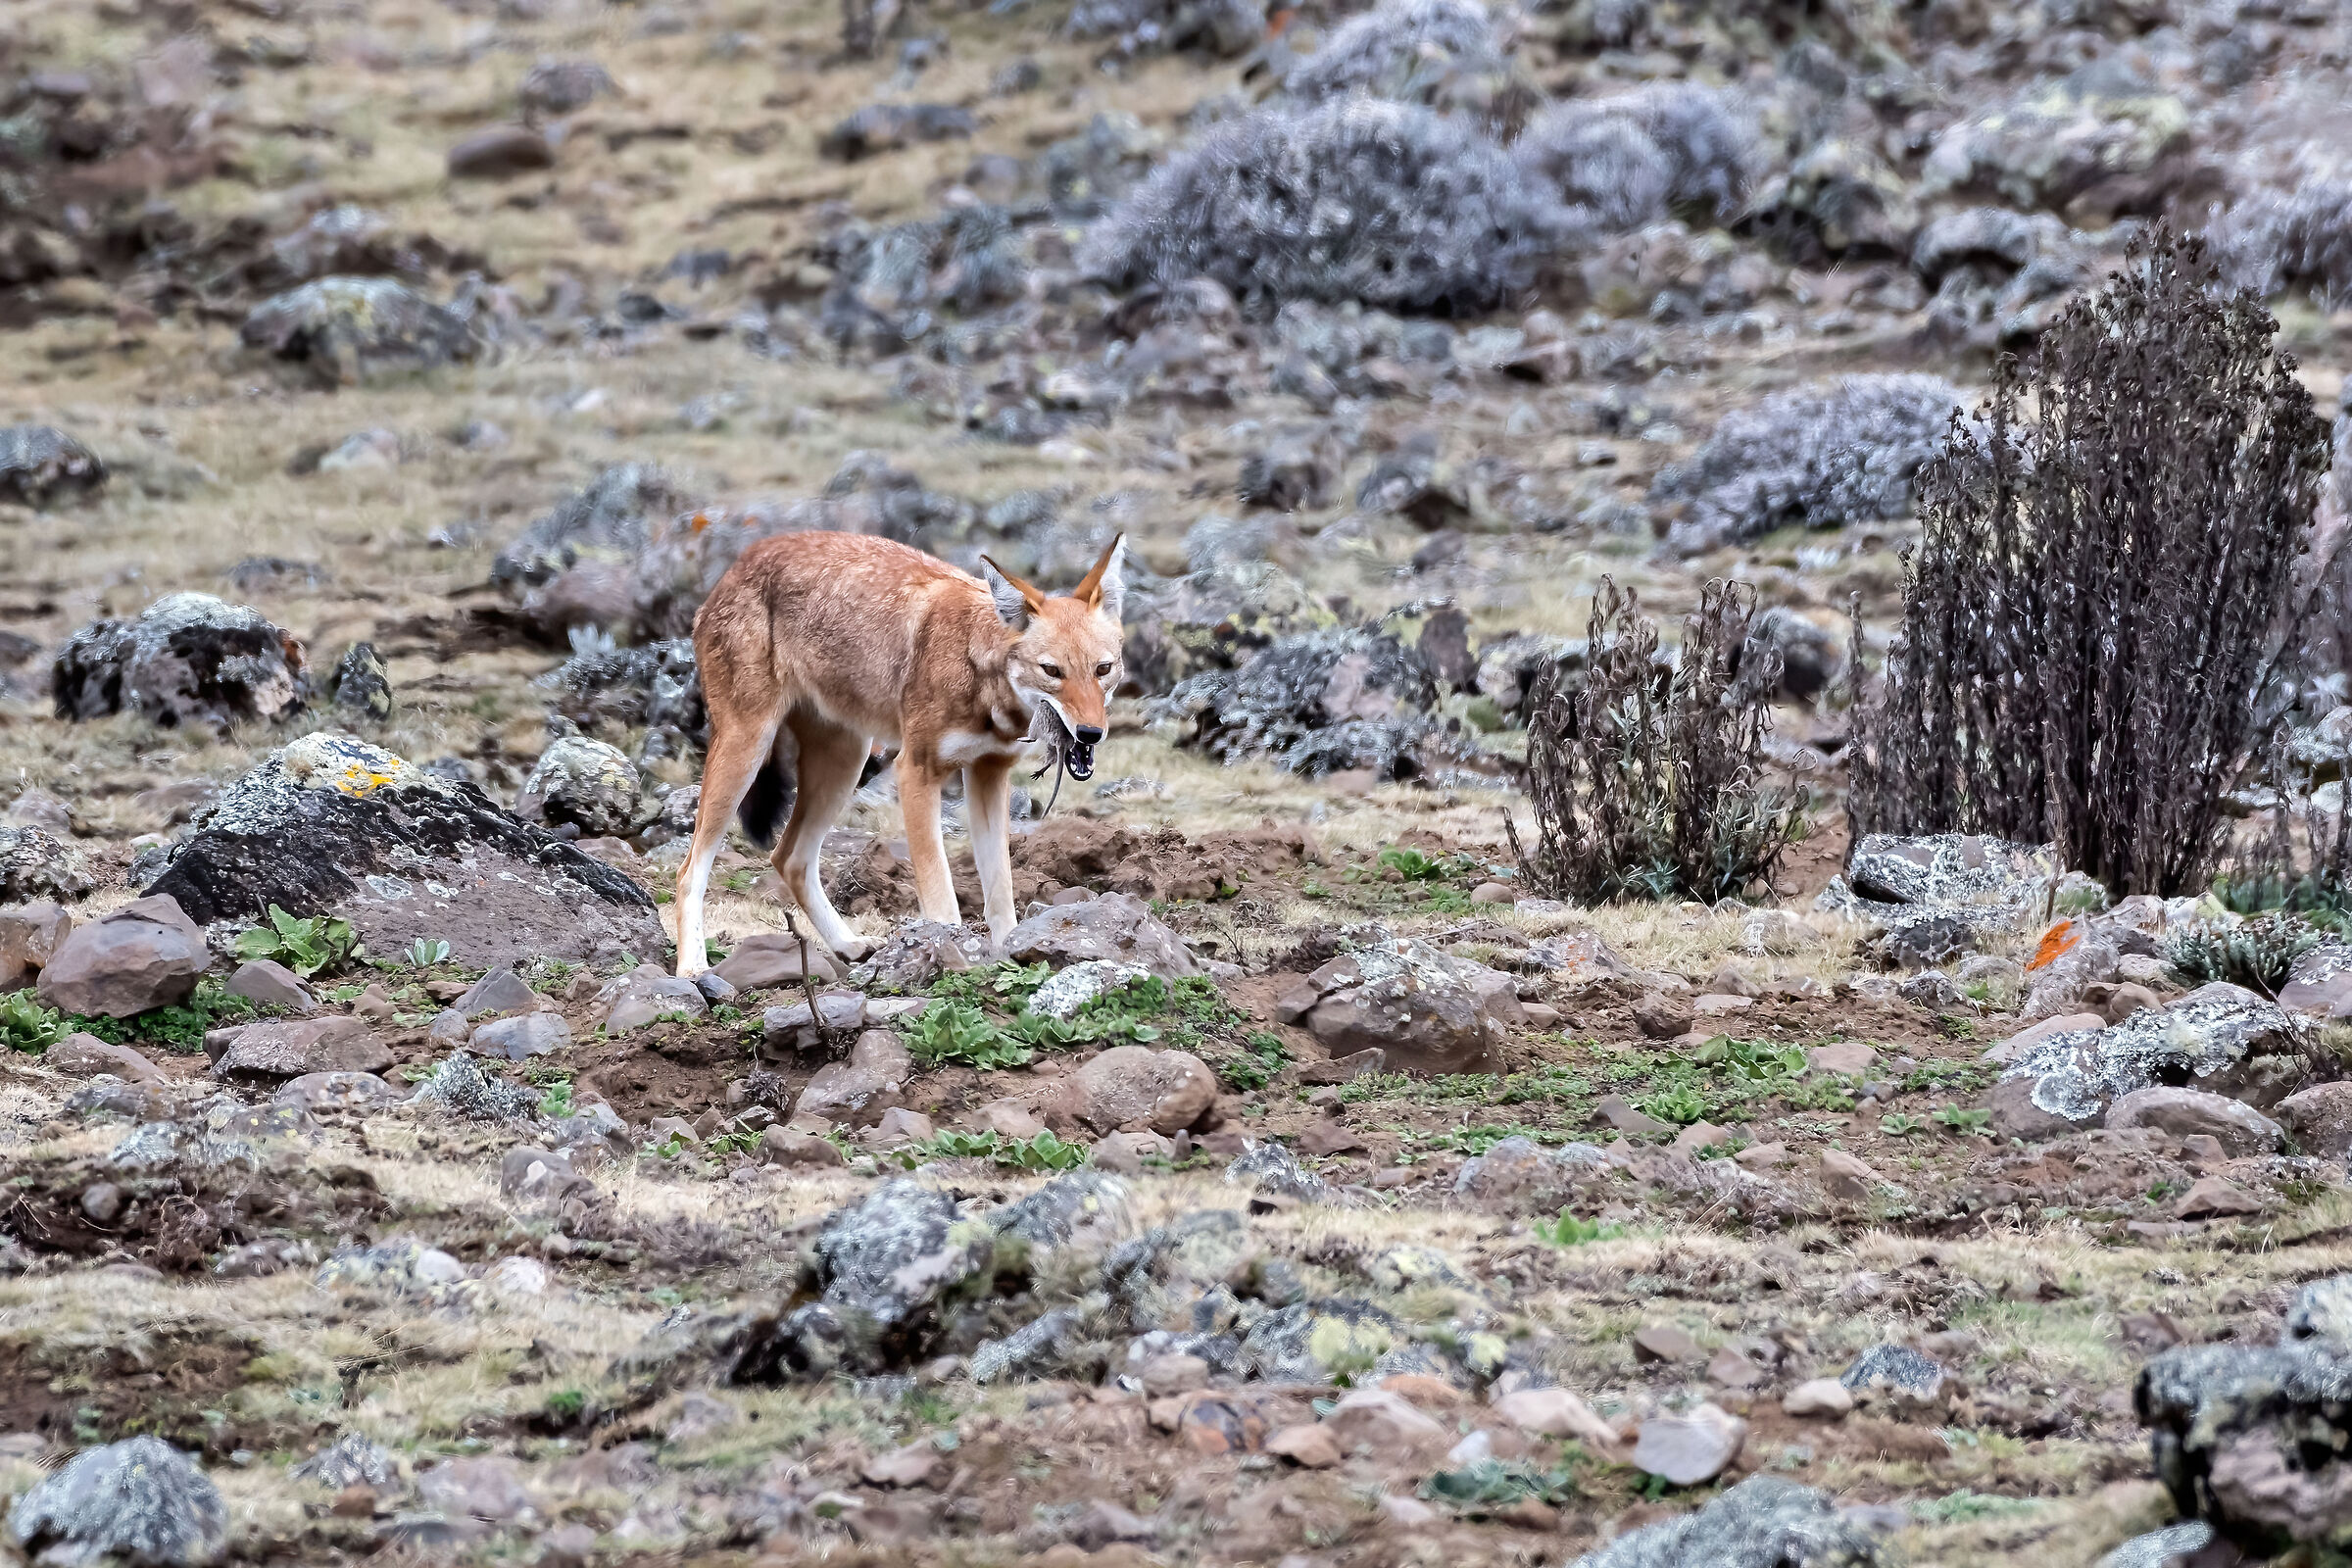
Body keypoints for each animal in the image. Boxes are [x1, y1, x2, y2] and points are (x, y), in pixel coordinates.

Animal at [672, 531, 1127, 978]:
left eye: (1102, 670)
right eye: (1052, 672)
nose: (1090, 732)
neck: (974, 666)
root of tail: (738, 564)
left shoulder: (988, 773)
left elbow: (1000, 891)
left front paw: (1007, 955)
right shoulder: (916, 771)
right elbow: (939, 889)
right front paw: (950, 953)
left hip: (844, 765)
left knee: (789, 858)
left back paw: (849, 946)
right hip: (747, 751)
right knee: (690, 869)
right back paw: (692, 965)